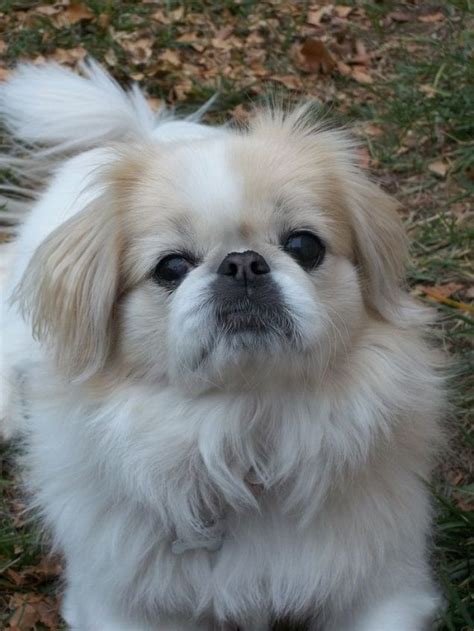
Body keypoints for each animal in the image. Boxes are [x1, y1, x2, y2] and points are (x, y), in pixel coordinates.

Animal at [0, 60, 444, 631]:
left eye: (304, 245)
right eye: (171, 267)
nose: (243, 262)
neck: (243, 430)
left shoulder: (384, 585)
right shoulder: (117, 603)